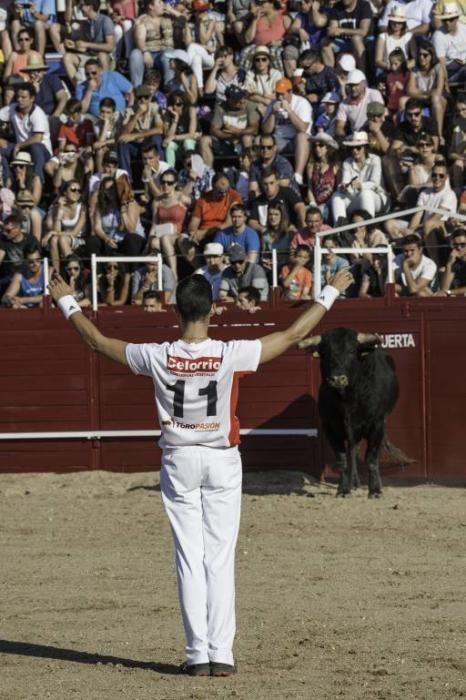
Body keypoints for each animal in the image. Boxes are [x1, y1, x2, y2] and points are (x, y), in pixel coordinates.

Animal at [300, 328, 398, 498]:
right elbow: (342, 459)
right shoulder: (331, 428)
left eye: (352, 351)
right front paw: (343, 489)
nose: (338, 379)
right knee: (352, 452)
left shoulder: (377, 425)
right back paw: (354, 483)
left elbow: (371, 458)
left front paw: (375, 490)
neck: (347, 399)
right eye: (325, 352)